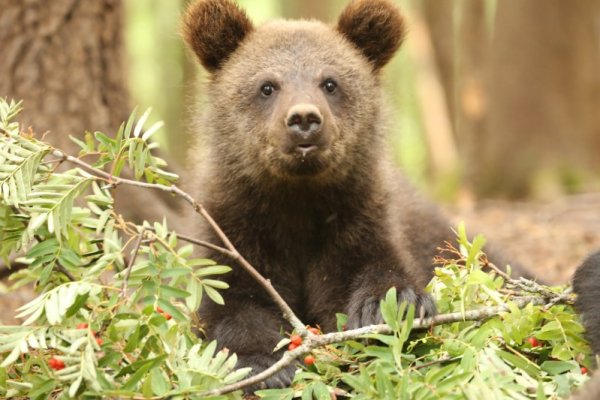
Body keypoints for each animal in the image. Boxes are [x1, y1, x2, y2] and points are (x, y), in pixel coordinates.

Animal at [180, 0, 476, 390]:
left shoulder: (357, 220)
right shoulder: (235, 227)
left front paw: (391, 304)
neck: (298, 201)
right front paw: (266, 365)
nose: (304, 118)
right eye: (267, 86)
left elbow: (371, 273)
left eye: (330, 83)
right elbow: (231, 303)